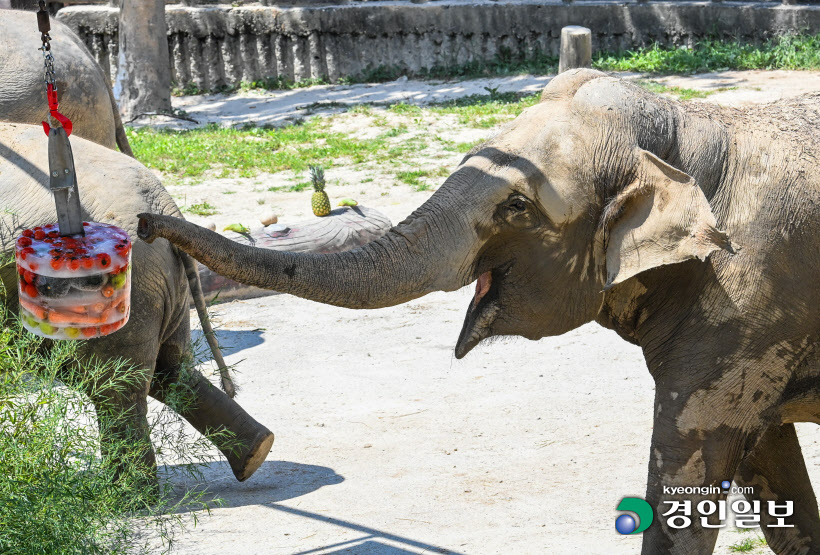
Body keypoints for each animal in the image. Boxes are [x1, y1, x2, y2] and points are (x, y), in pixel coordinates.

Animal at [0, 121, 278, 482]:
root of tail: (164, 206)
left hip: (129, 290)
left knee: (117, 392)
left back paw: (123, 495)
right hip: (164, 287)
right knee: (172, 371)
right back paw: (255, 452)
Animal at [139, 70, 820, 555]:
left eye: (516, 206)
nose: (145, 225)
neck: (692, 131)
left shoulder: (747, 309)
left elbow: (693, 469)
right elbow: (768, 465)